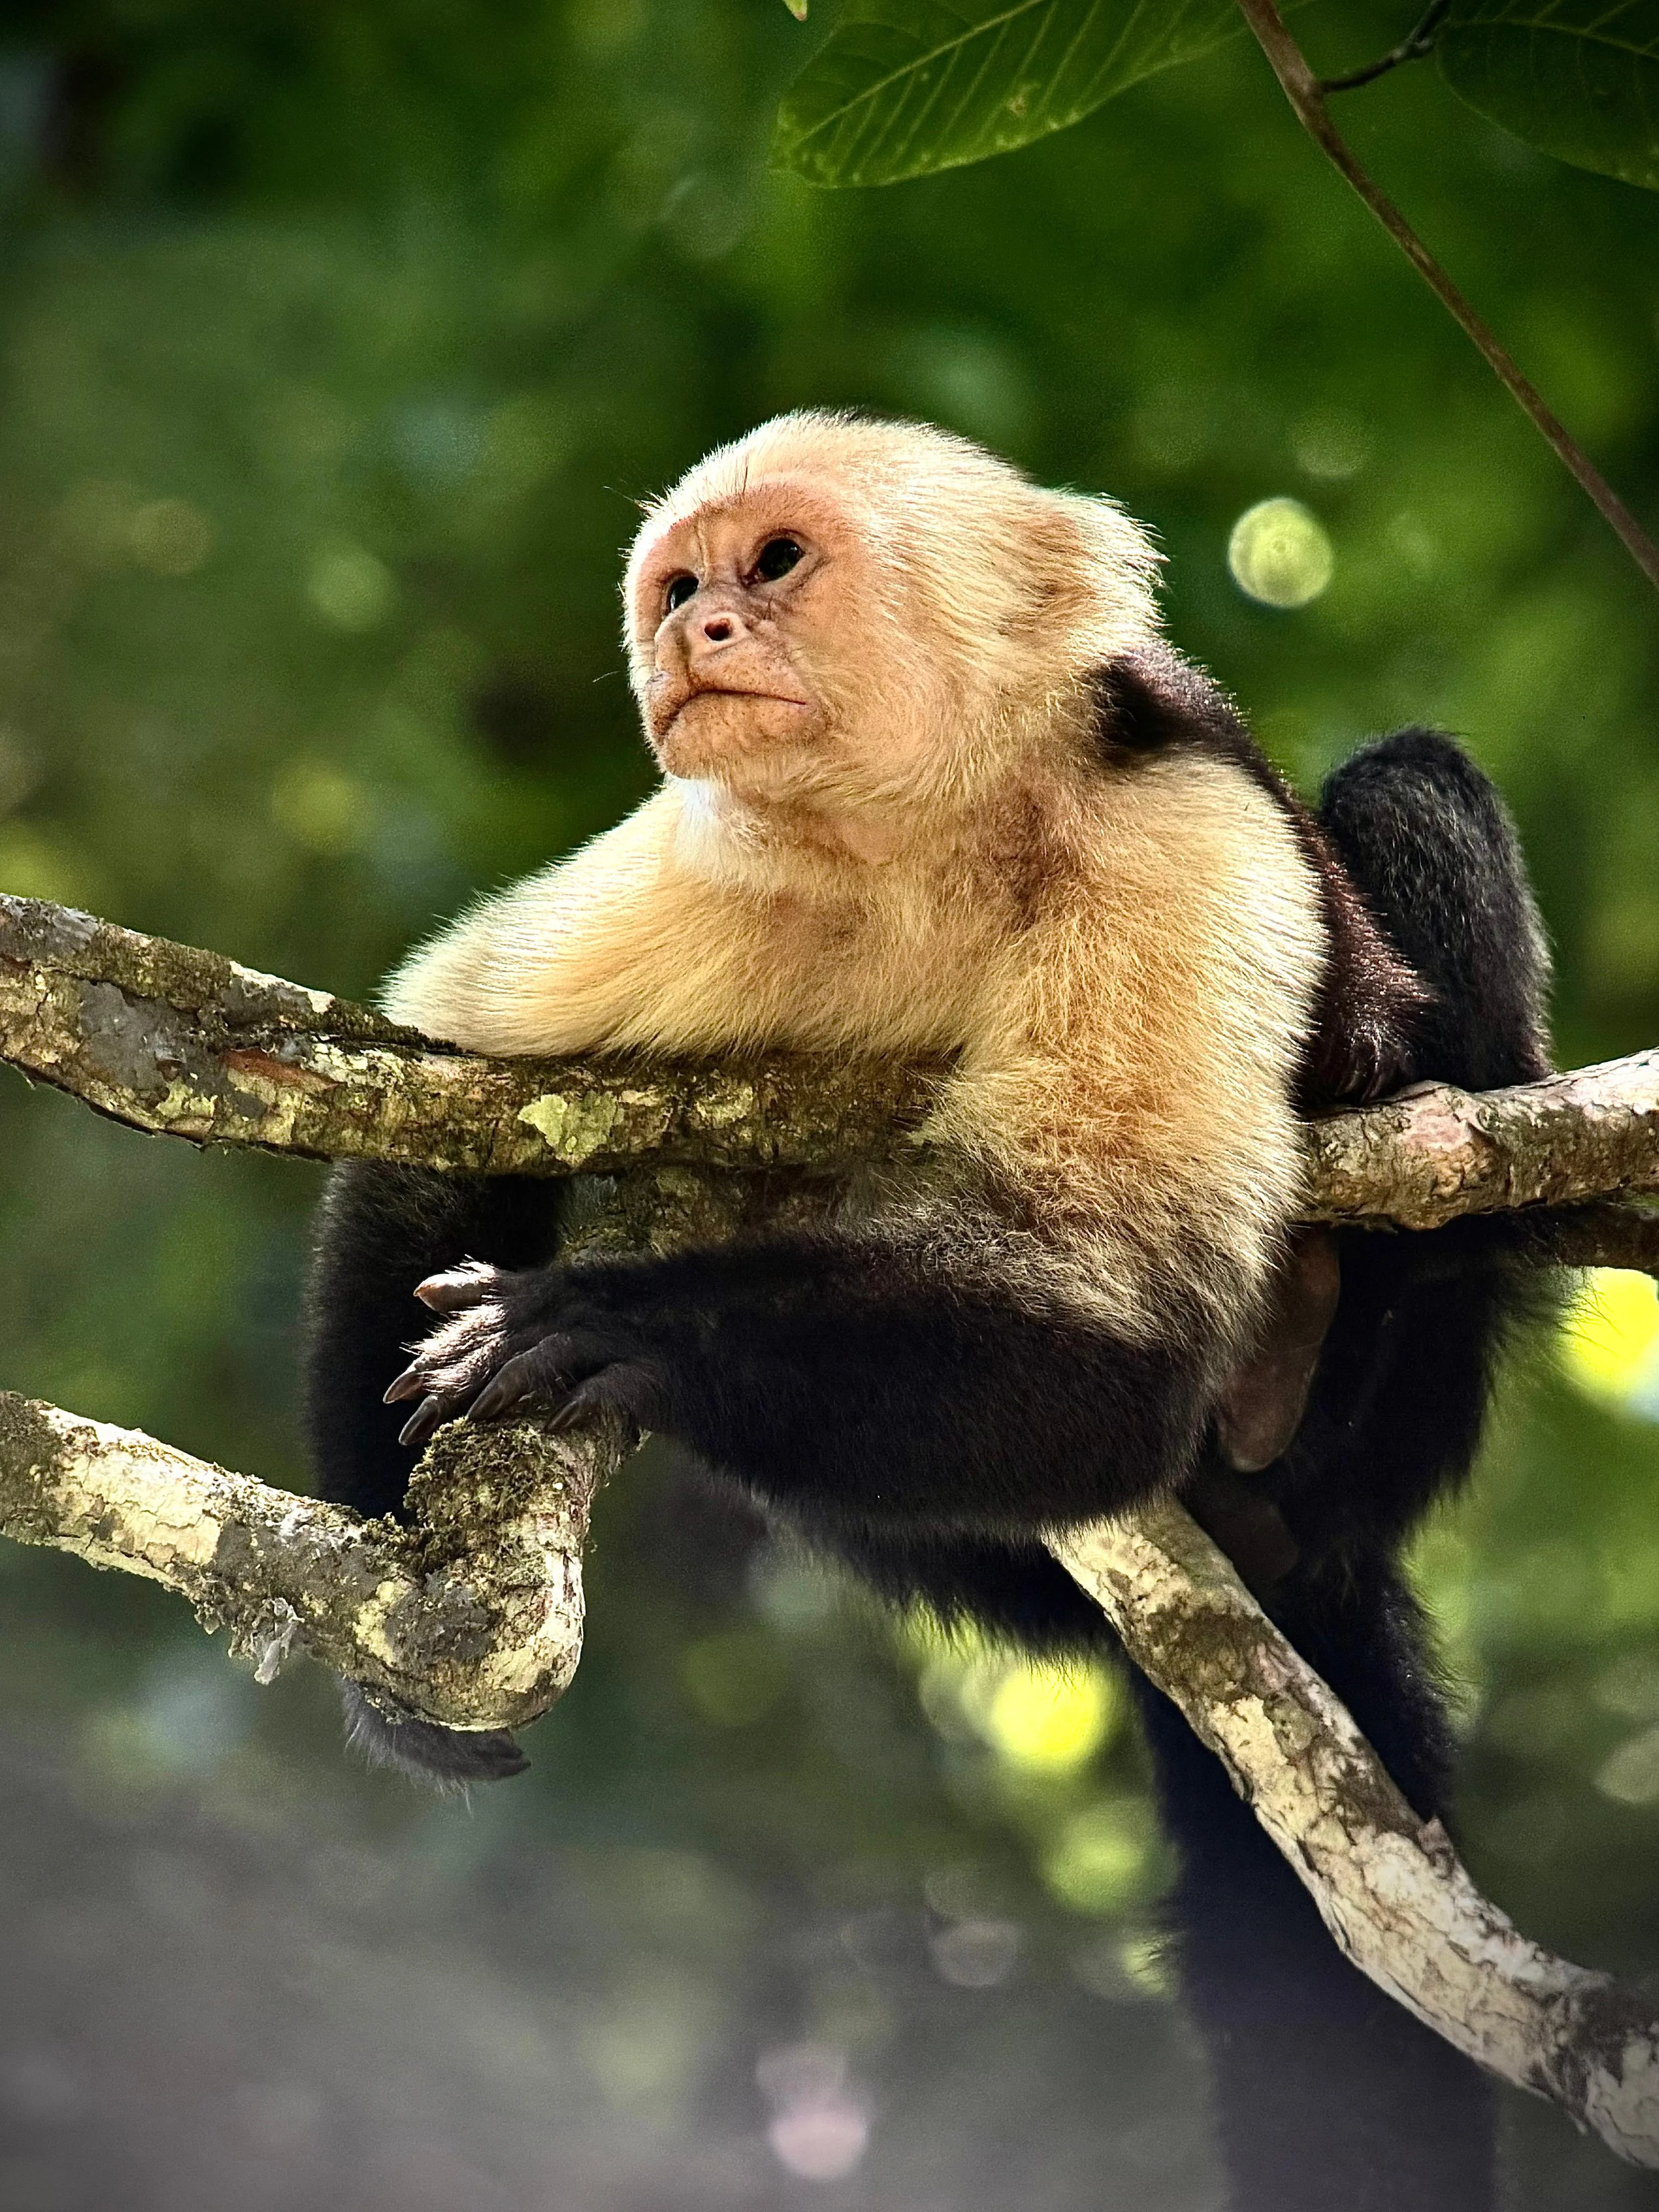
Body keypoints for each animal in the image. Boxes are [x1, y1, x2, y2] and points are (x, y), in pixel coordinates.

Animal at [304, 412, 1550, 2212]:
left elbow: (1122, 1328)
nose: (699, 629)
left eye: (774, 565)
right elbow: (437, 1095)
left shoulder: (1164, 825)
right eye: (678, 584)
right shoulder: (702, 855)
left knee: (1405, 793)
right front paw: (390, 1620)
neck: (916, 853)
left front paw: (622, 1327)